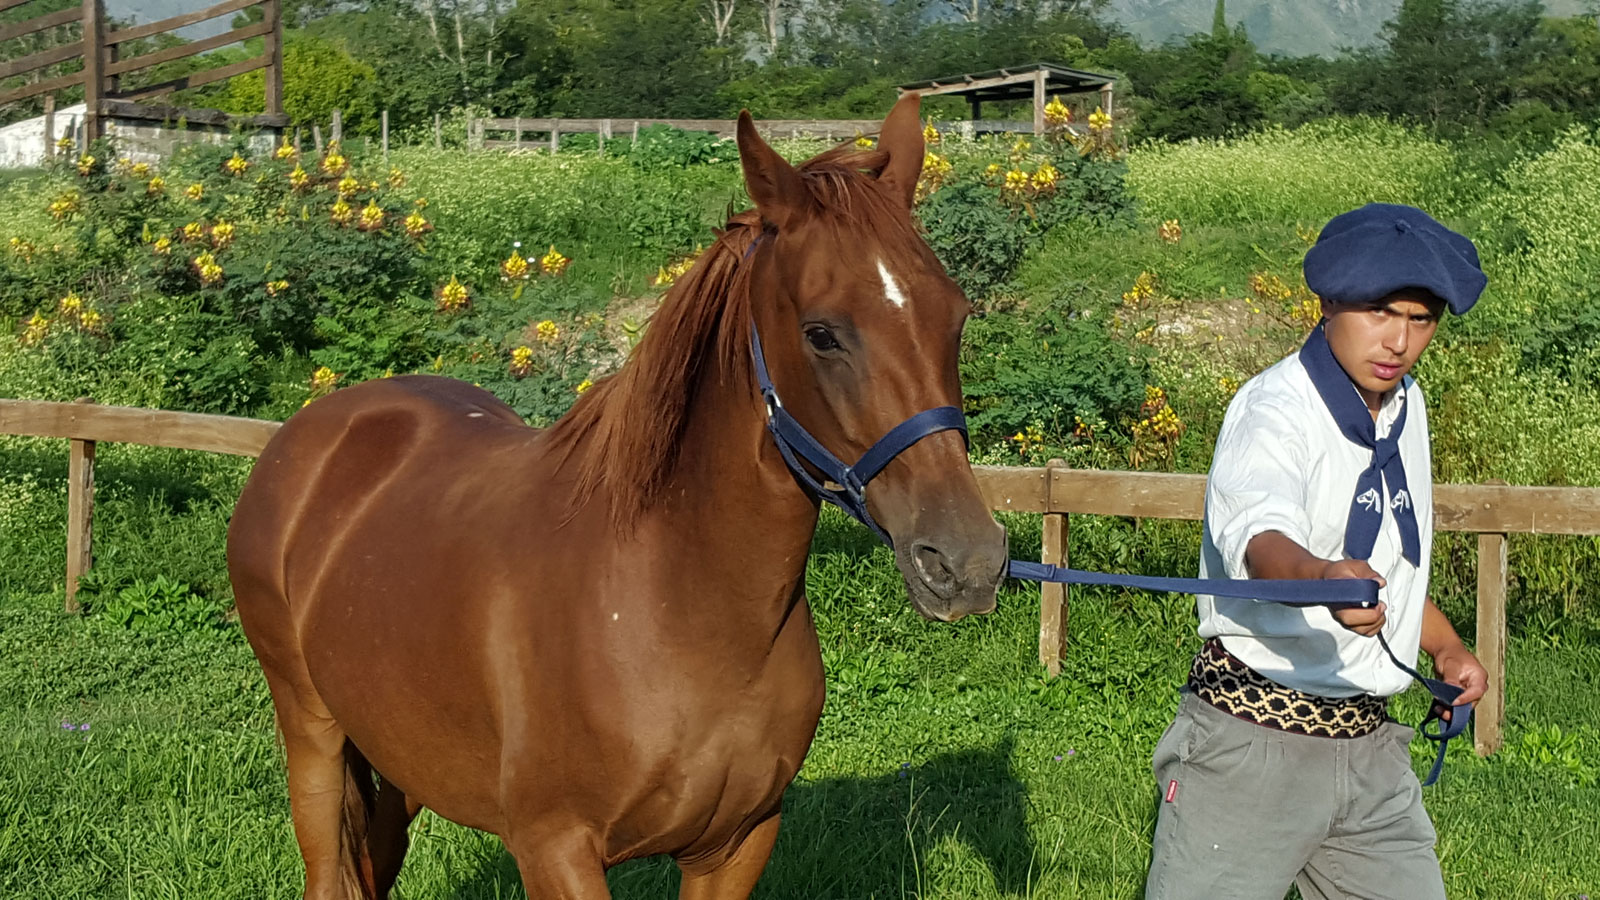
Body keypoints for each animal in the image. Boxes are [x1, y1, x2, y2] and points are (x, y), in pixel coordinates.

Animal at [228, 92, 998, 896]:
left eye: (956, 315)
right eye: (823, 334)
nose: (966, 561)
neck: (674, 603)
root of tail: (313, 431)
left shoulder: (738, 843)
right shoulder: (555, 848)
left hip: (399, 750)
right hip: (311, 733)